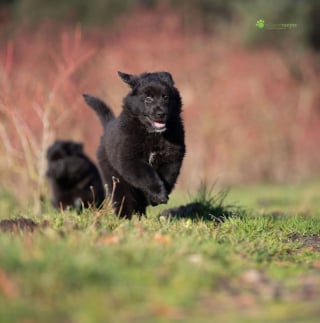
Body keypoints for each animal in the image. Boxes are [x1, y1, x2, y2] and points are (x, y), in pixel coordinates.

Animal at [83, 71, 185, 218]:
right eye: (148, 99)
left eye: (165, 97)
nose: (161, 113)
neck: (153, 134)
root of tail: (107, 126)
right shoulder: (131, 160)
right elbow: (148, 175)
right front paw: (158, 195)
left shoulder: (172, 158)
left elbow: (167, 177)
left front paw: (155, 198)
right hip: (115, 177)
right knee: (122, 198)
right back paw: (126, 217)